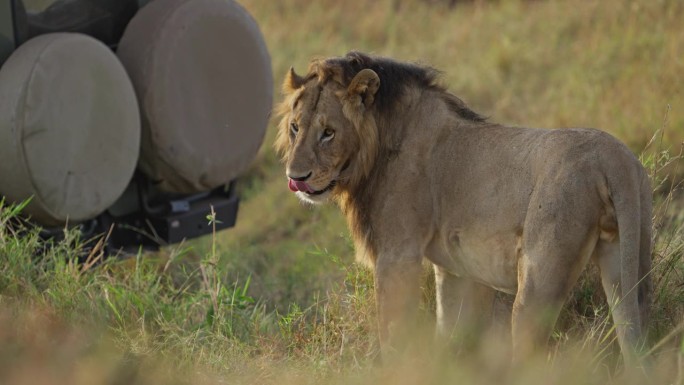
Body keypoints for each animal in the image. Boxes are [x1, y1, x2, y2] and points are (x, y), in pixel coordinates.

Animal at [272, 51, 652, 364]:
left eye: (328, 132)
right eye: (295, 128)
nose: (296, 177)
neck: (376, 146)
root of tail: (614, 157)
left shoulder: (397, 254)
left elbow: (393, 332)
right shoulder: (456, 269)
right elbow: (452, 331)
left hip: (538, 277)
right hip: (624, 261)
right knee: (633, 335)